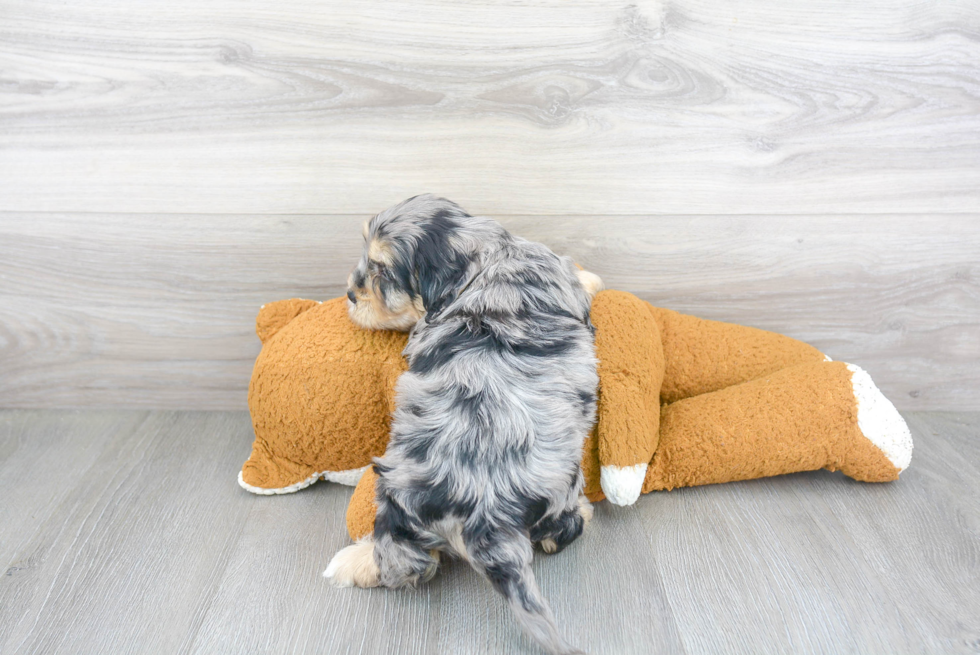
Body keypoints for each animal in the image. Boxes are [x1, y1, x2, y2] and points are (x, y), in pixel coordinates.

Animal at [328, 195, 604, 655]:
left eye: (382, 270)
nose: (350, 293)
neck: (489, 253)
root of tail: (484, 510)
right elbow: (577, 274)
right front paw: (591, 276)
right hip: (564, 477)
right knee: (560, 528)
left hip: (397, 495)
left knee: (409, 560)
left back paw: (355, 561)